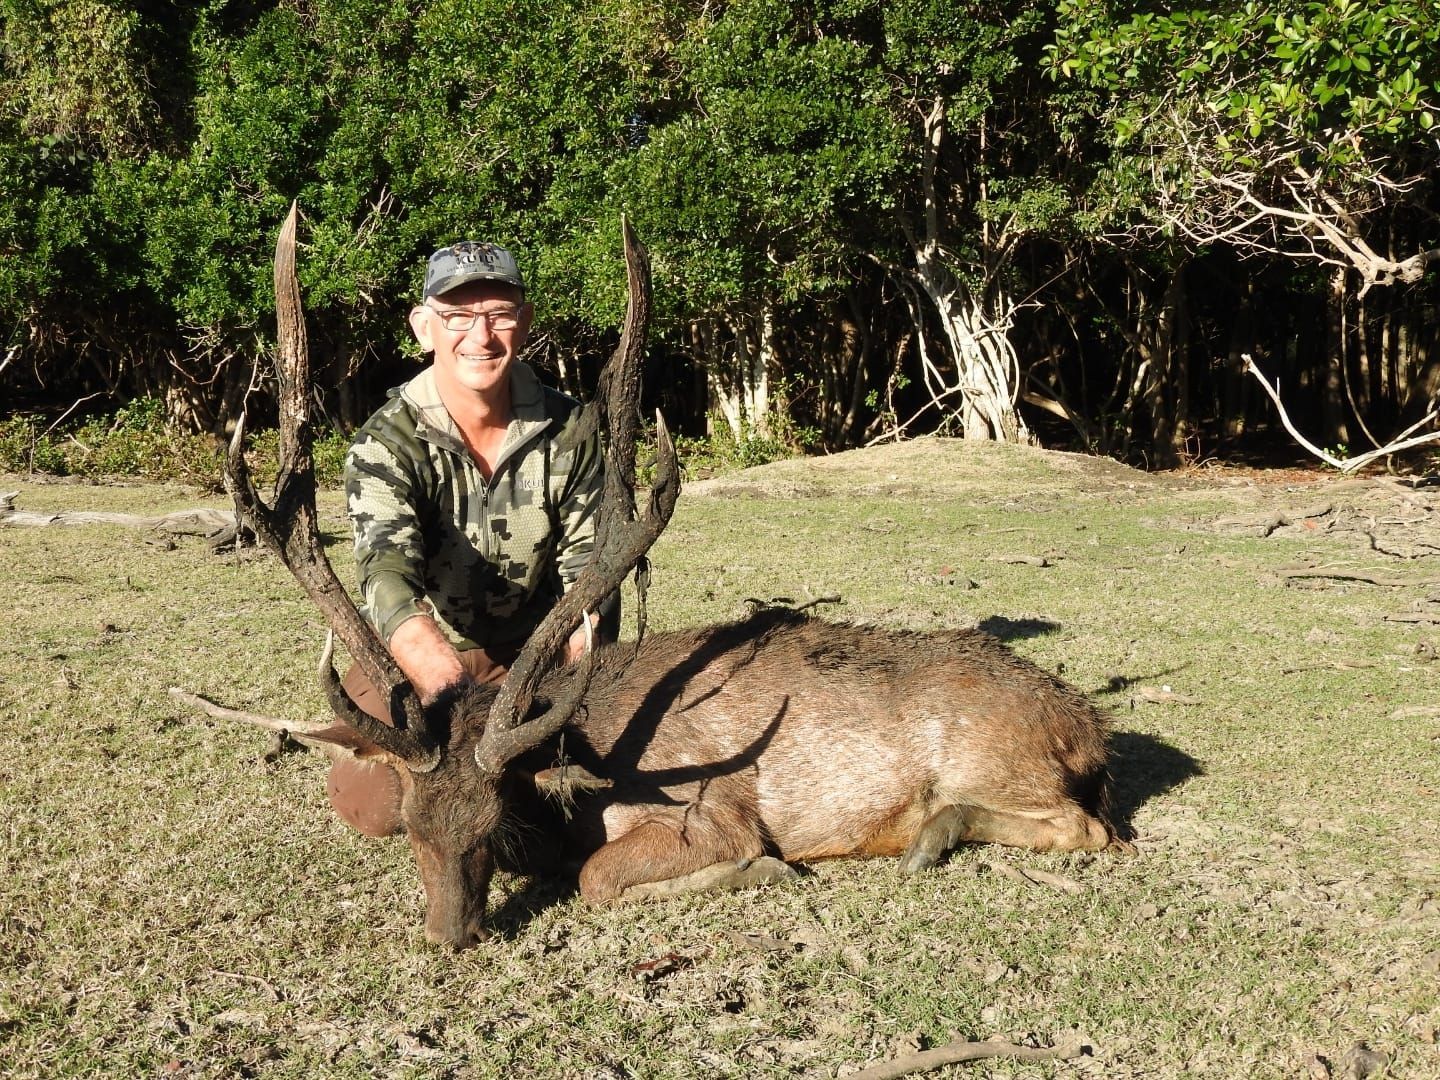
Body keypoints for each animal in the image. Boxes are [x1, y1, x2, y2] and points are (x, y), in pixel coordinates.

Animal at [175, 206, 1119, 950]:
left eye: (492, 823)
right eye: (411, 828)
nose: (449, 936)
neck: (577, 774)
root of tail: (1089, 730)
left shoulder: (710, 810)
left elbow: (603, 878)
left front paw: (768, 873)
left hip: (1002, 762)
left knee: (1090, 827)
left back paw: (933, 832)